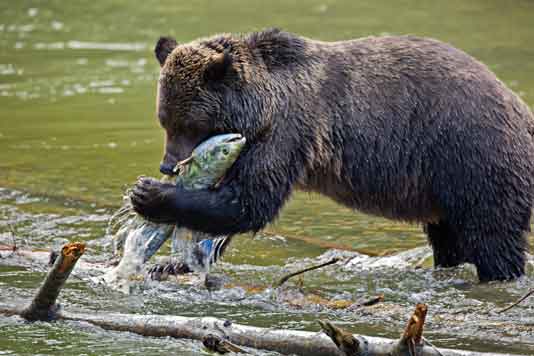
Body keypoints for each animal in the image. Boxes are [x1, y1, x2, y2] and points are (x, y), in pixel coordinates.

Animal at [131, 28, 534, 280]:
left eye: (188, 125)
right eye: (165, 120)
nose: (167, 166)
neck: (258, 108)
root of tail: (522, 111)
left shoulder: (288, 132)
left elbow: (248, 202)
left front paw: (148, 194)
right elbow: (229, 209)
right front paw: (171, 264)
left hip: (472, 156)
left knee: (492, 238)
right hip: (443, 187)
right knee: (451, 239)